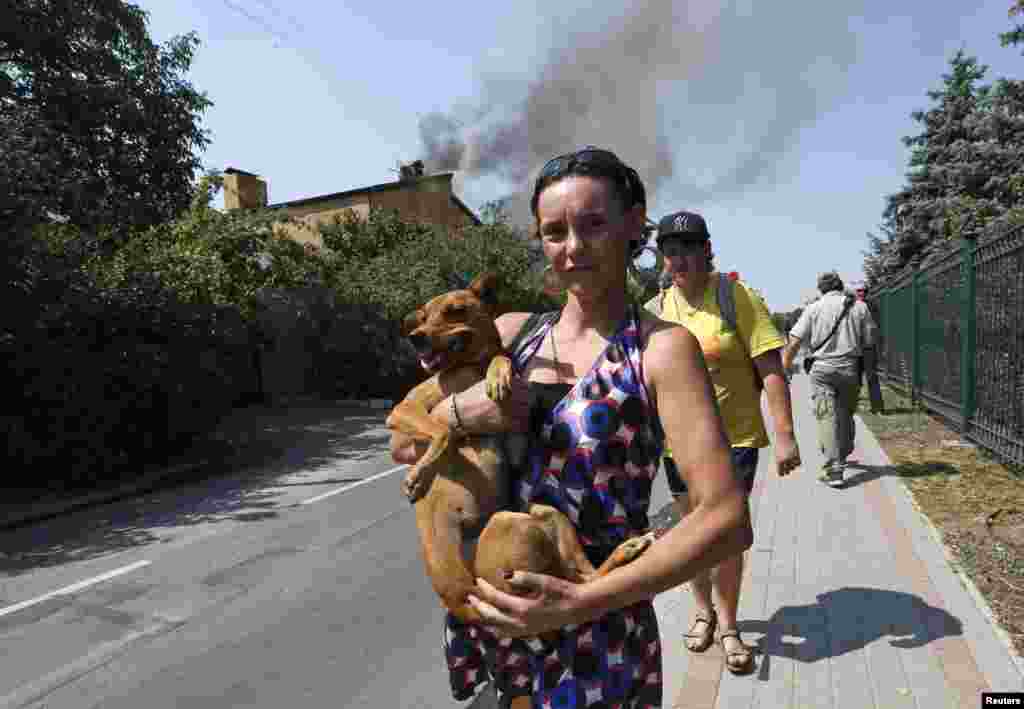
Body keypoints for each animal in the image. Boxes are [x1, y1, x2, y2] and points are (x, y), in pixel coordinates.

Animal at [387, 272, 651, 631]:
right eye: (424, 316)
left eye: (455, 310)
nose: (415, 338)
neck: (470, 366)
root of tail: (466, 604)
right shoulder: (402, 410)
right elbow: (443, 431)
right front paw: (417, 476)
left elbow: (500, 363)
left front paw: (499, 373)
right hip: (516, 524)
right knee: (577, 580)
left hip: (538, 515)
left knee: (582, 579)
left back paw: (628, 550)